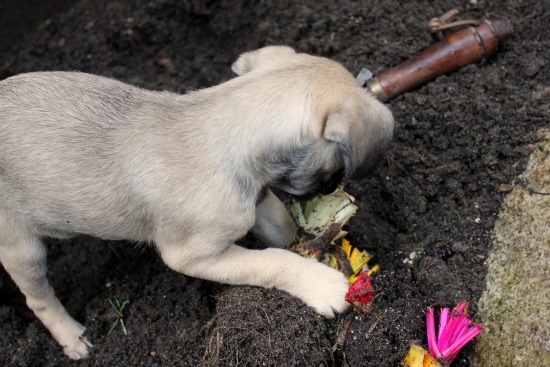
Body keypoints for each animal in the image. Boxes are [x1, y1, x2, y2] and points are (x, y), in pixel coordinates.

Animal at [1, 46, 396, 360]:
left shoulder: (255, 199)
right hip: (22, 249)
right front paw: (320, 282)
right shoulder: (191, 256)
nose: (330, 188)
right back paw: (72, 336)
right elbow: (271, 261)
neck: (223, 129)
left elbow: (280, 228)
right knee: (38, 297)